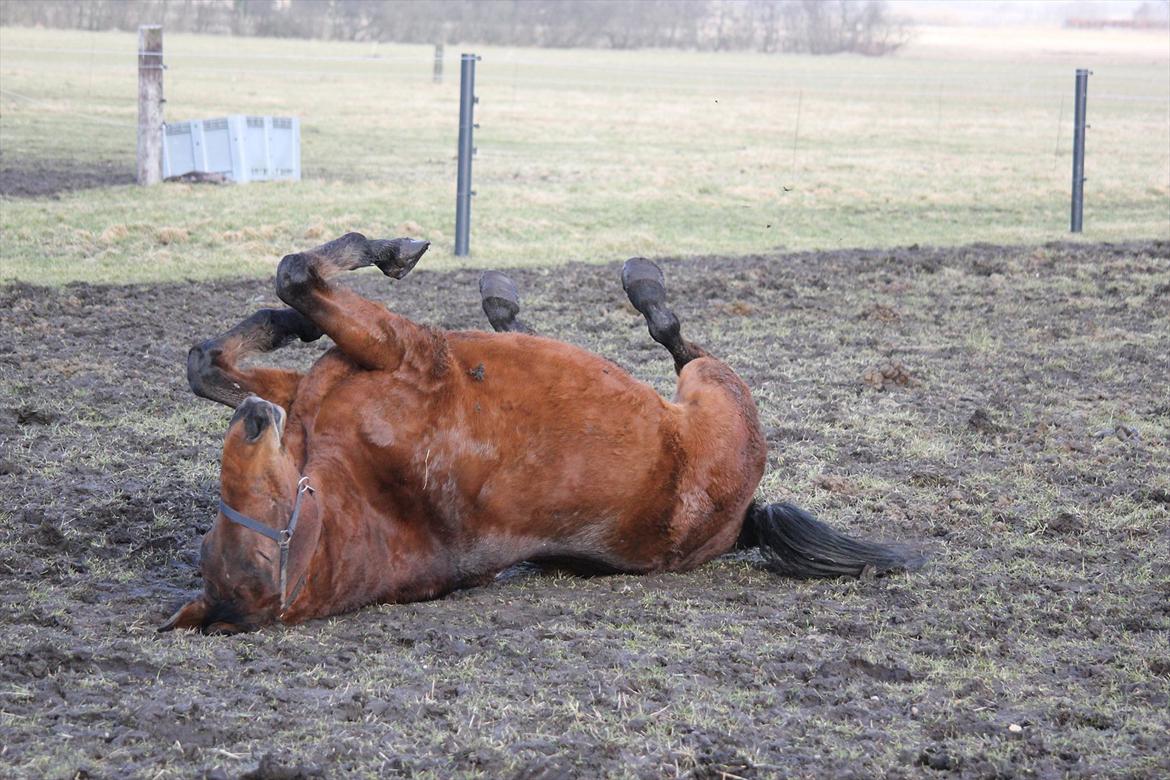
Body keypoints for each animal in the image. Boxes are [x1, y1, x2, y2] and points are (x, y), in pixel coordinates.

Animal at [160, 235, 921, 636]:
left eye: (253, 513)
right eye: (246, 536)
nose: (254, 422)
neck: (374, 493)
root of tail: (743, 517)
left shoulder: (351, 371)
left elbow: (213, 354)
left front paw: (287, 322)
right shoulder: (407, 353)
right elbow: (294, 278)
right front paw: (387, 252)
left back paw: (511, 306)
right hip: (718, 394)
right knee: (676, 336)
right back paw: (626, 286)